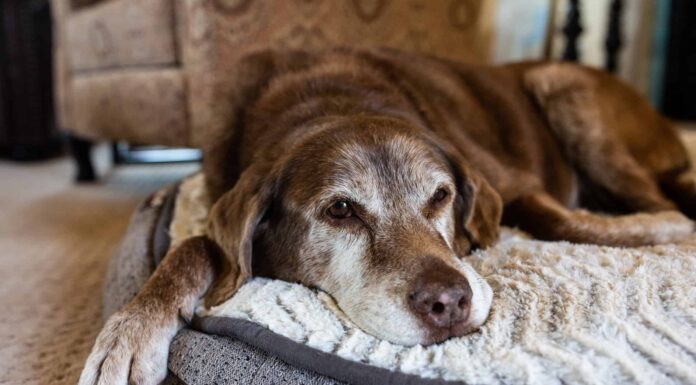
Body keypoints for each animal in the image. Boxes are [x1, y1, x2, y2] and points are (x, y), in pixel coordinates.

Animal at [79, 48, 692, 384]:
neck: (330, 99)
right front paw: (131, 331)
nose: (449, 303)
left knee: (654, 196)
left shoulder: (513, 183)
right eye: (340, 210)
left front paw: (671, 233)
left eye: (441, 196)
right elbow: (198, 245)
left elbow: (562, 222)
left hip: (567, 92)